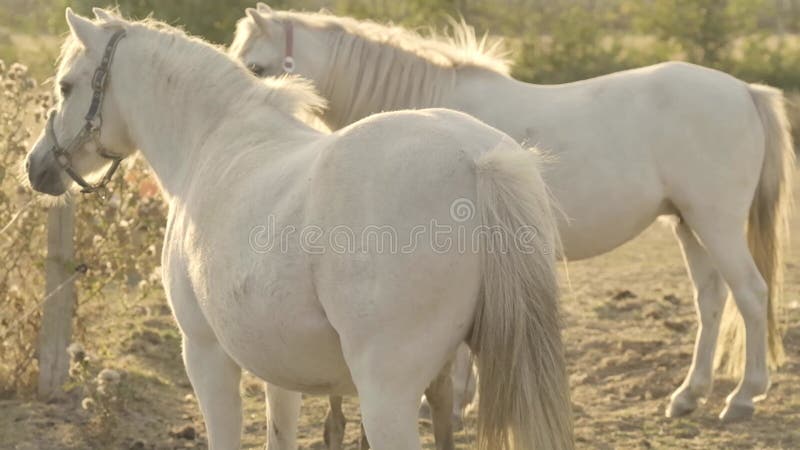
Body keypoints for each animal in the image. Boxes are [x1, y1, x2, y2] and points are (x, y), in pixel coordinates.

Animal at [26, 7, 576, 450]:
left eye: (67, 85)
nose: (37, 167)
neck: (214, 140)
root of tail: (477, 160)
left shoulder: (205, 354)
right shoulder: (279, 371)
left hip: (387, 397)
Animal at [231, 4, 792, 426]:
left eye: (255, 67)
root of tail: (745, 90)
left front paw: (453, 405)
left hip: (716, 223)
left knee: (750, 294)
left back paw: (743, 397)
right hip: (688, 224)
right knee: (711, 301)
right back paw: (688, 395)